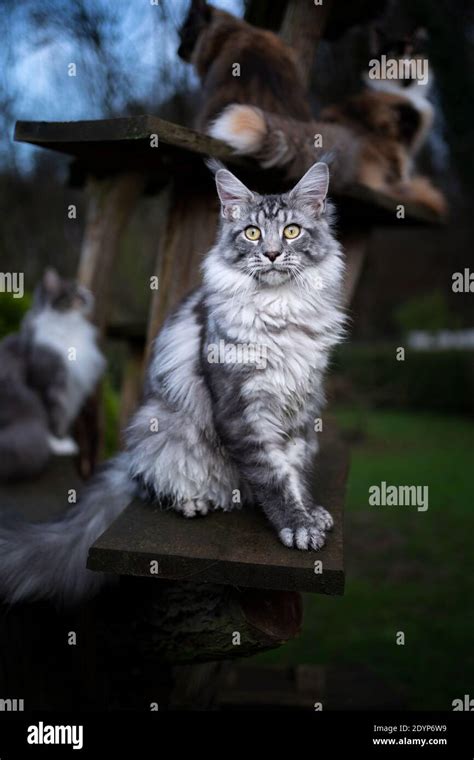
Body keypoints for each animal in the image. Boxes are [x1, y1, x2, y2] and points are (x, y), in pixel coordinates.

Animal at [0, 268, 104, 480]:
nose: (89, 294)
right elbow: (51, 416)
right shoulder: (47, 383)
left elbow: (62, 418)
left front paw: (64, 439)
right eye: (75, 291)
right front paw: (58, 444)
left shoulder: (72, 389)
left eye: (83, 289)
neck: (68, 325)